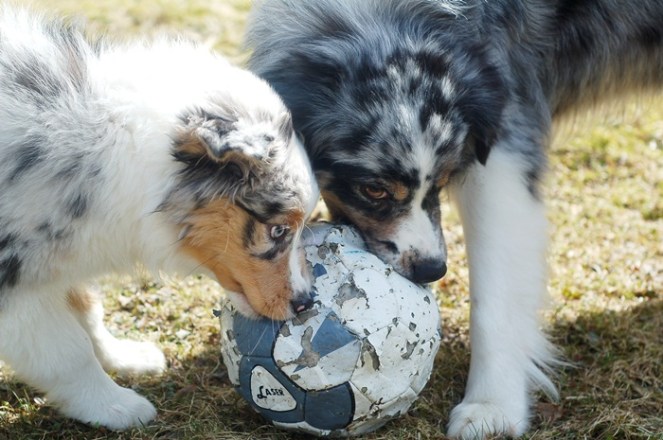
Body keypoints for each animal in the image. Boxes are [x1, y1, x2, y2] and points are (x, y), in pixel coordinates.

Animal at [0, 7, 318, 431]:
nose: (306, 303)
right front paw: (115, 406)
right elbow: (67, 352)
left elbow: (85, 307)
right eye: (278, 229)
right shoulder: (14, 279)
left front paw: (123, 357)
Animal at [245, 1, 663, 438]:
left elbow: (494, 297)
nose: (431, 270)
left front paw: (493, 405)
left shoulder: (505, 141)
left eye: (443, 178)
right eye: (373, 189)